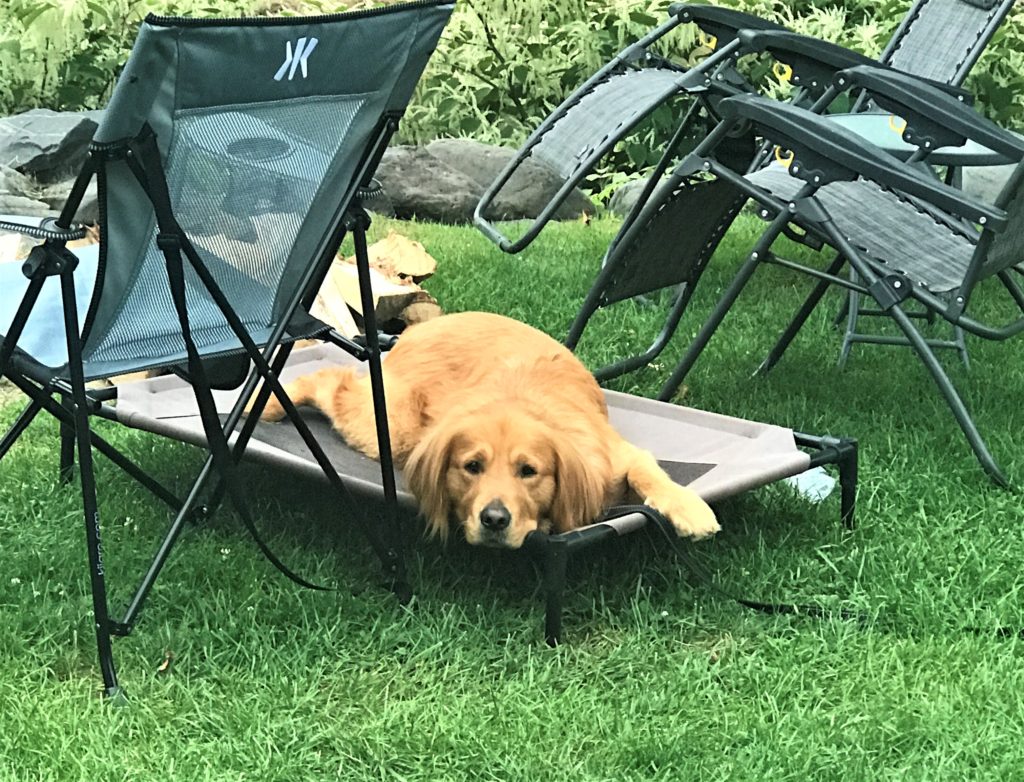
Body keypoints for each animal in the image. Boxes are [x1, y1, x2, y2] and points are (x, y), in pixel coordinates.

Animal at [256, 309, 720, 548]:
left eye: (528, 471)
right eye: (472, 467)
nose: (494, 520)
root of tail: (419, 326)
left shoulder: (616, 455)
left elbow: (650, 473)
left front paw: (688, 508)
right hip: (390, 424)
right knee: (330, 379)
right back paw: (272, 403)